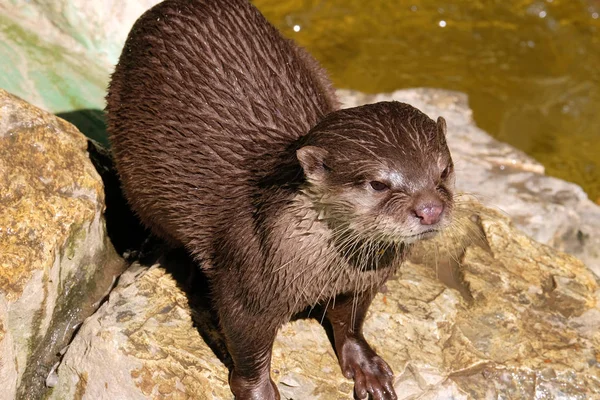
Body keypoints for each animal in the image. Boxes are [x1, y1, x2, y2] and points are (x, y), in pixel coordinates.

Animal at [108, 1, 454, 398]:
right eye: (378, 184)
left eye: (443, 171)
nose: (429, 209)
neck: (324, 271)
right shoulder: (248, 285)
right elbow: (248, 350)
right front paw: (259, 391)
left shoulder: (364, 282)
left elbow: (351, 322)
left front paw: (367, 368)